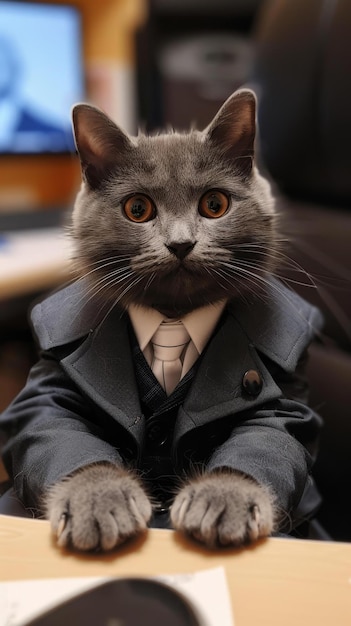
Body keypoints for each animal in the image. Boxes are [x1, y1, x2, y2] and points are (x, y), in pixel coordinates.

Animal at [0, 88, 324, 544]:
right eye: (137, 208)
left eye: (215, 204)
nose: (181, 243)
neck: (173, 315)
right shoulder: (52, 375)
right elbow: (51, 420)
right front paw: (98, 499)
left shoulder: (286, 386)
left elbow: (271, 433)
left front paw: (223, 498)